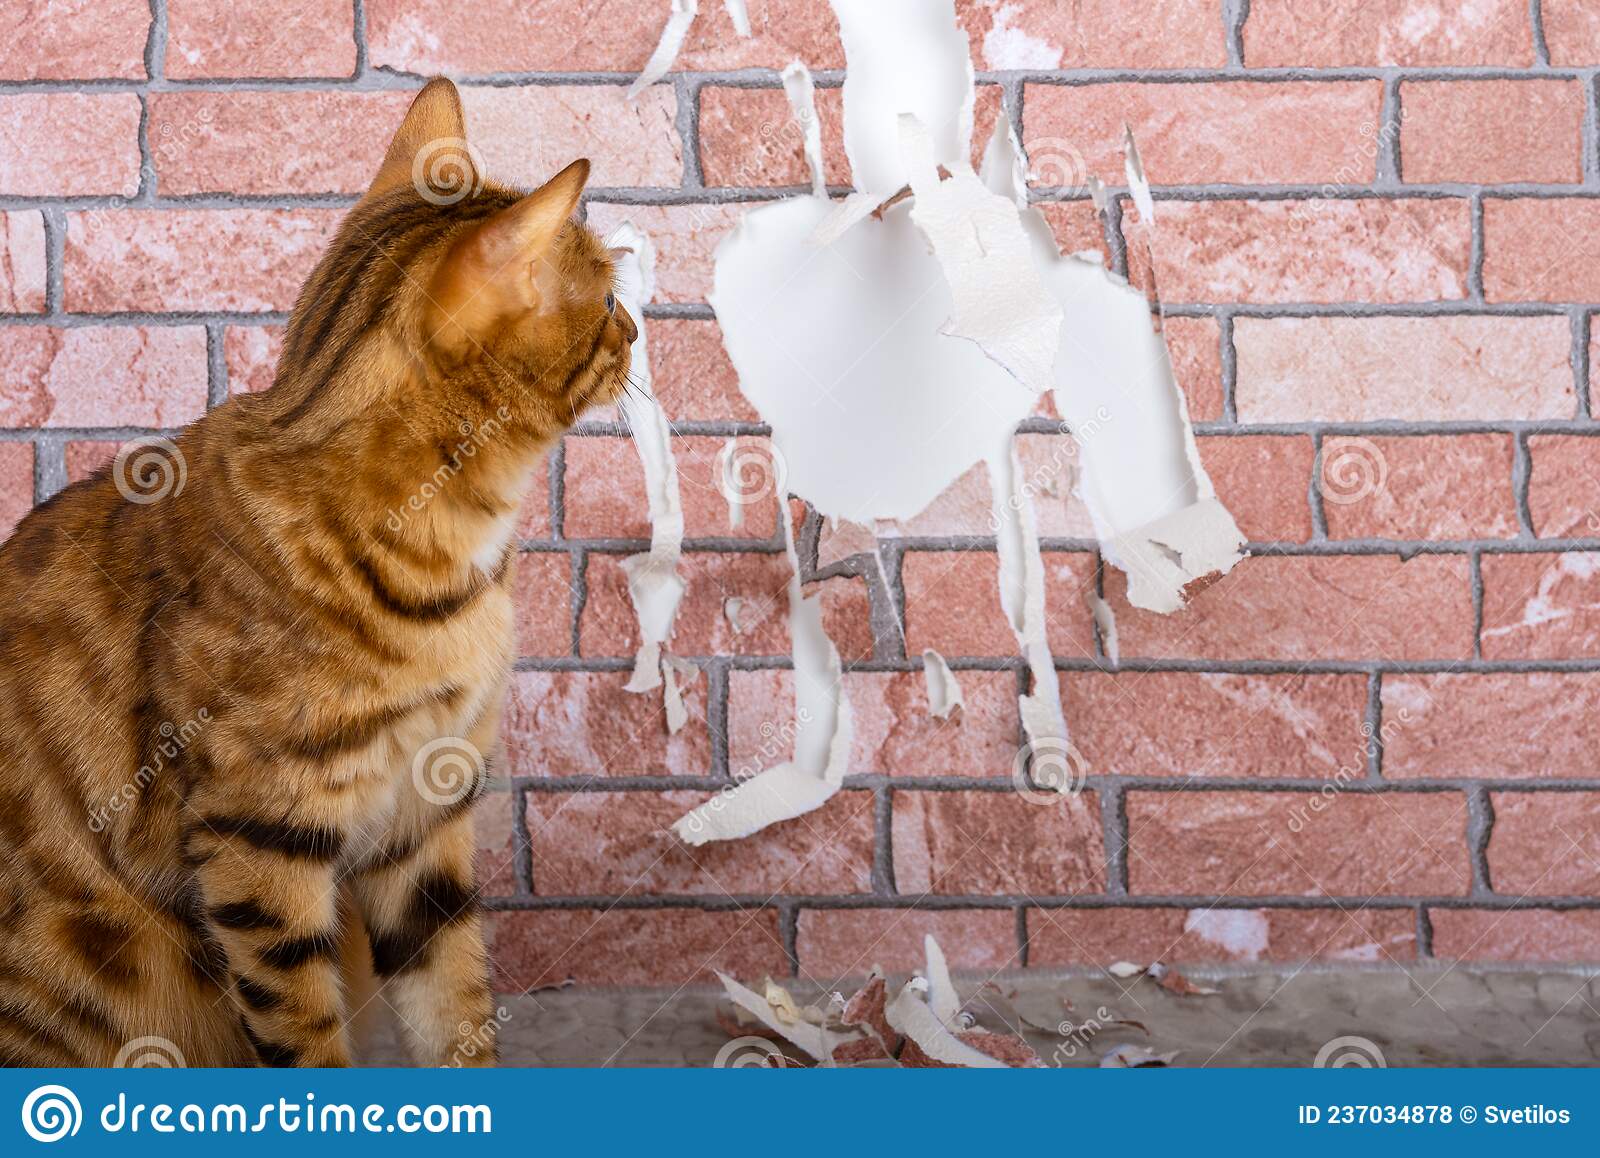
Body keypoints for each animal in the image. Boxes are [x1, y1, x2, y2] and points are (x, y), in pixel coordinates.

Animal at [0, 76, 633, 1062]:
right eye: (606, 303)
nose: (639, 330)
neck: (453, 561)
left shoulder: (423, 815)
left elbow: (455, 1000)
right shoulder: (259, 833)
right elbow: (303, 1026)